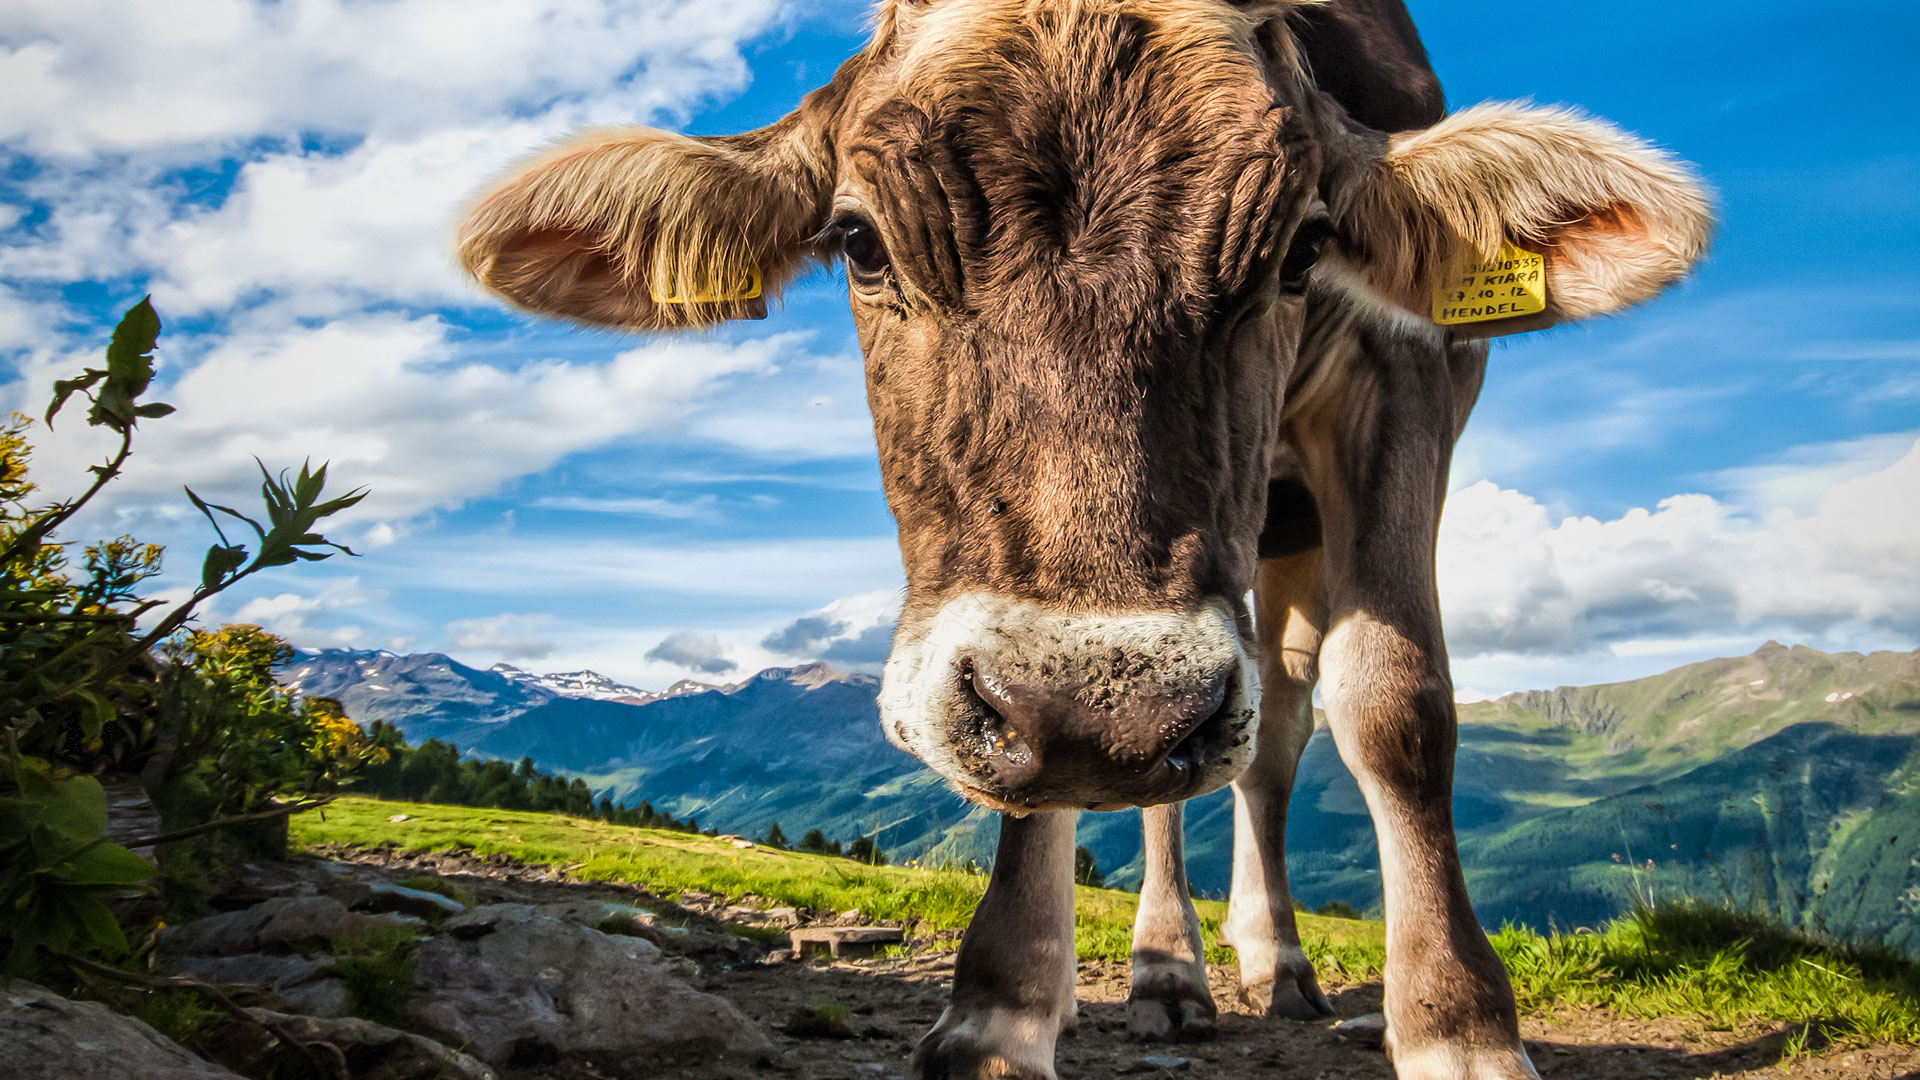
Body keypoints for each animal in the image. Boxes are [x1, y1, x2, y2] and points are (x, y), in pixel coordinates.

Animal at [454, 2, 1711, 1077]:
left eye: (1302, 250)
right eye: (859, 242)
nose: (1107, 702)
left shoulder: (1416, 371)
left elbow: (1398, 703)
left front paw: (1459, 1026)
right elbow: (1048, 778)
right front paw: (1000, 1008)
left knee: (1277, 726)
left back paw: (1272, 956)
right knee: (1190, 774)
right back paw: (1168, 971)